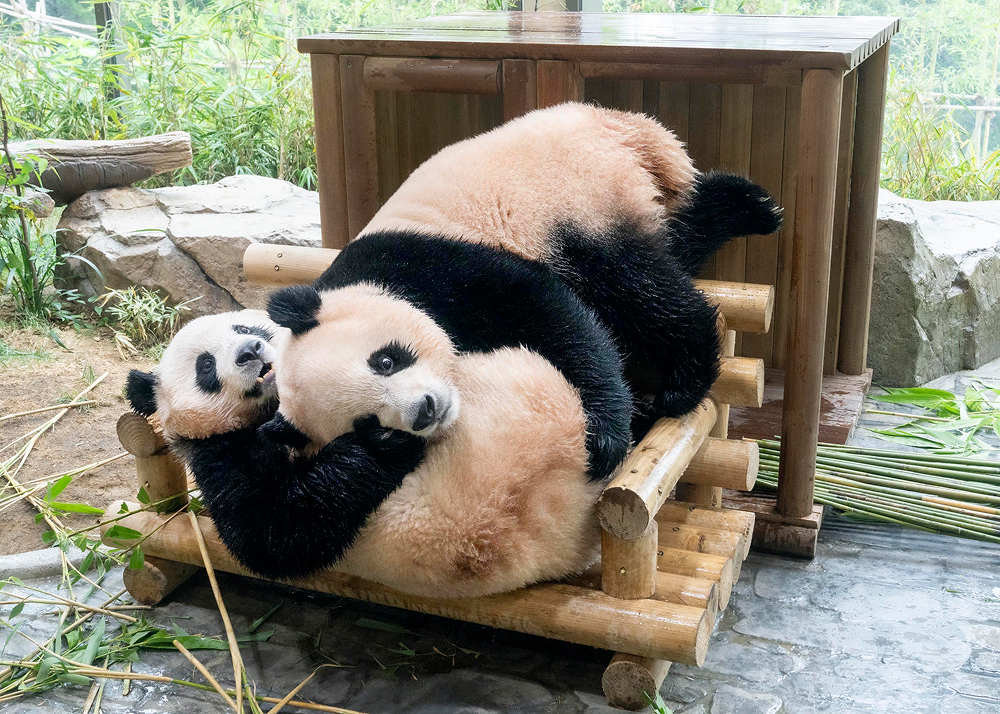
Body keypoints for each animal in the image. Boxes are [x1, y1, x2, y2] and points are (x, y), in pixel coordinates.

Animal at [355, 102, 783, 419]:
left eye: (387, 362)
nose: (422, 413)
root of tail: (619, 124)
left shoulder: (434, 268)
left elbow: (543, 308)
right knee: (675, 241)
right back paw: (750, 204)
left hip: (579, 204)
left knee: (641, 289)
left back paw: (681, 387)